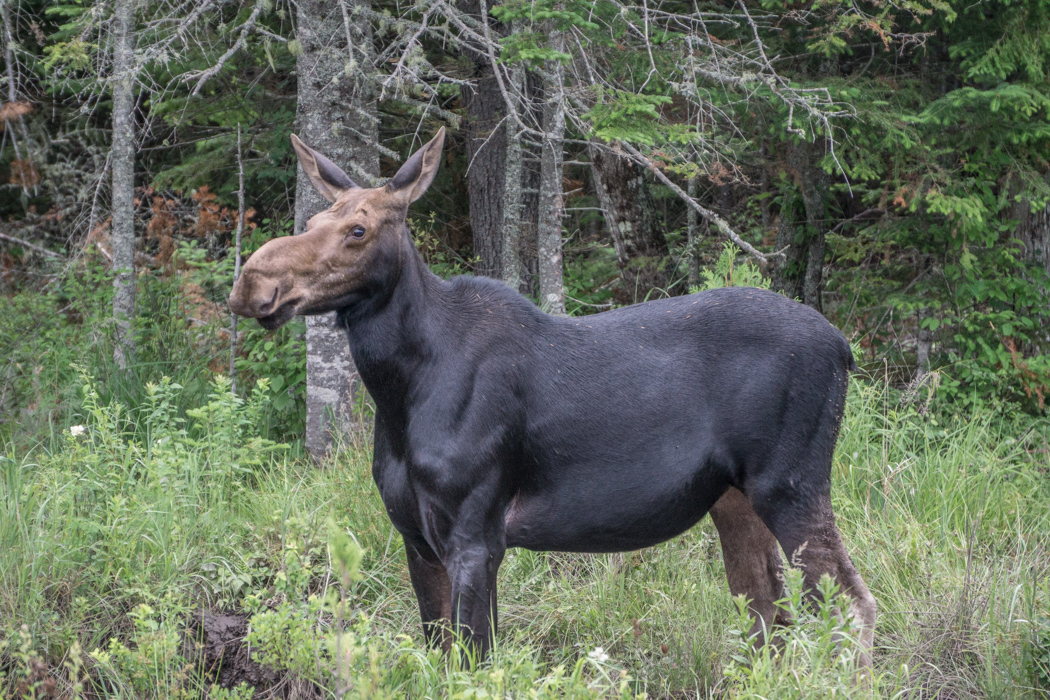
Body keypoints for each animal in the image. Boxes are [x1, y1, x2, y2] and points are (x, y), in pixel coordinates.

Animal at [229, 130, 877, 667]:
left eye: (358, 230)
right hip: (734, 498)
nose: (252, 282)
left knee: (850, 606)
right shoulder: (415, 538)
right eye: (314, 217)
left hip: (790, 482)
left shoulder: (477, 533)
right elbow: (440, 652)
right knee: (769, 613)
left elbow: (472, 659)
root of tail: (844, 348)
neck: (398, 392)